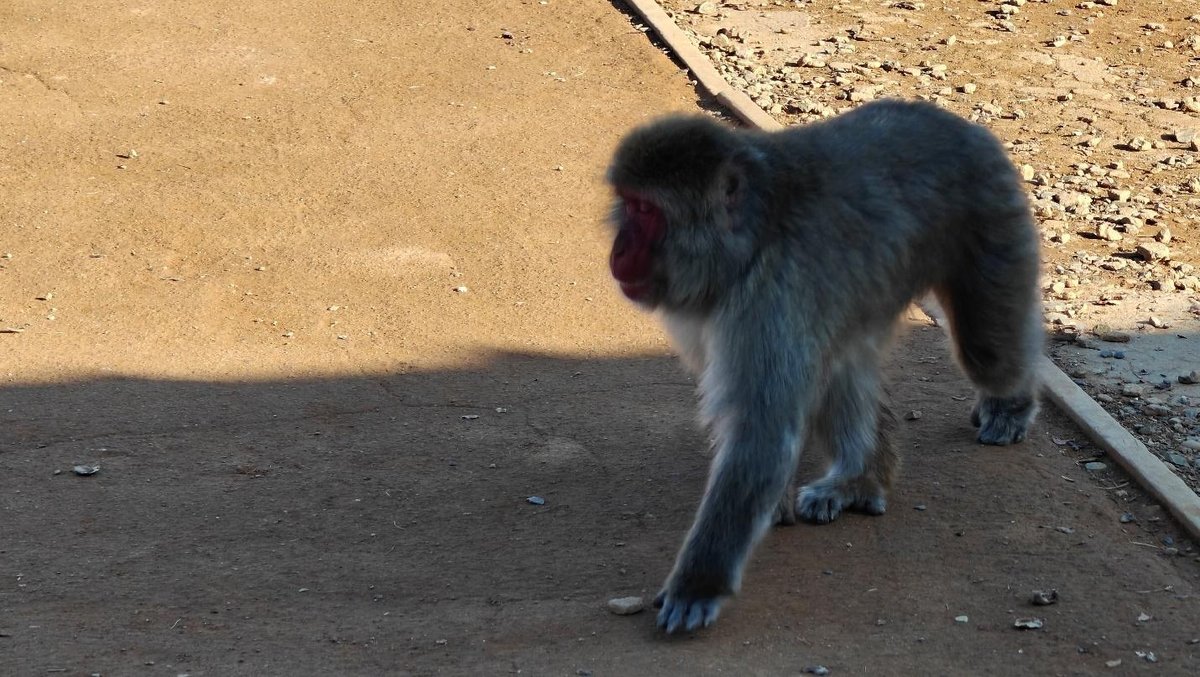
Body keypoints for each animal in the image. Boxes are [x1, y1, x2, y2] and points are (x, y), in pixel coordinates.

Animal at [604, 99, 1043, 634]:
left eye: (646, 211)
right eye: (628, 203)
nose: (619, 250)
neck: (752, 236)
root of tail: (957, 122)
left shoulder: (771, 295)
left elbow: (762, 431)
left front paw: (698, 585)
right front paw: (775, 504)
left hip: (990, 212)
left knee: (987, 352)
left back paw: (1011, 404)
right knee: (844, 363)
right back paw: (861, 478)